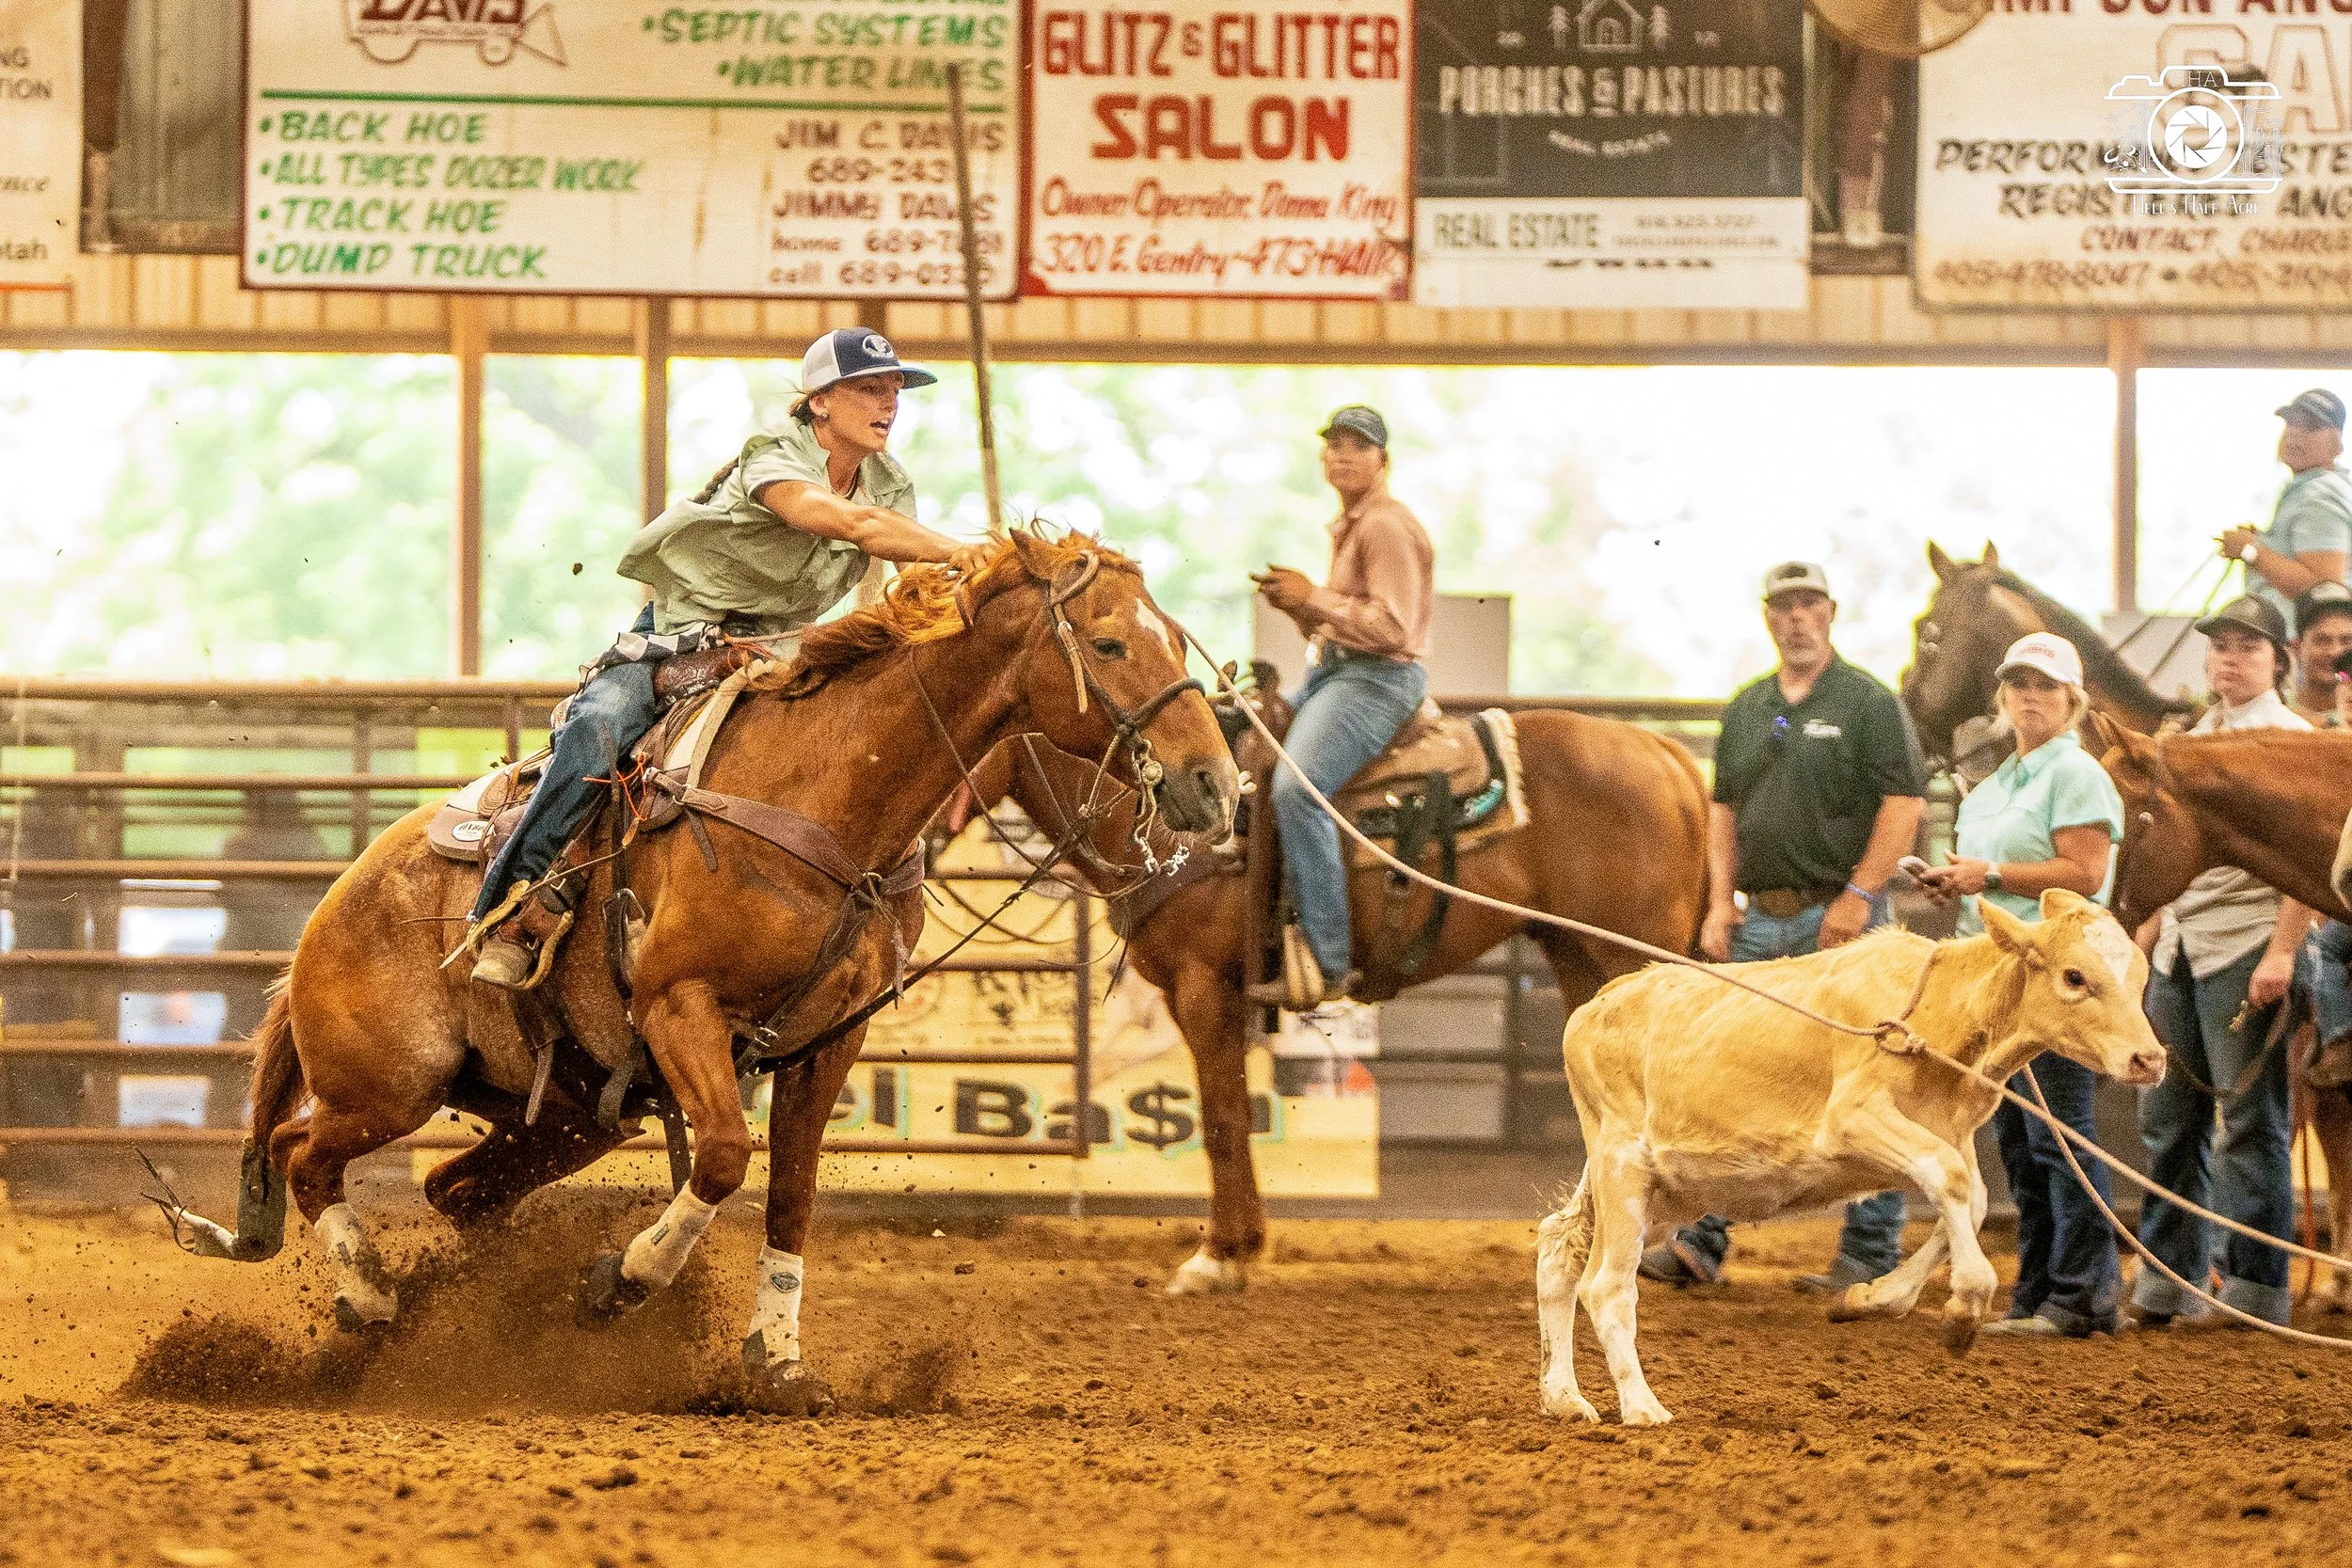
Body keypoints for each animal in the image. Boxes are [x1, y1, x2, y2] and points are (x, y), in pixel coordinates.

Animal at [160, 531, 1238, 1413]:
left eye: (1178, 645)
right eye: (1109, 645)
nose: (1213, 783)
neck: (826, 801)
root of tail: (328, 911)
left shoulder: (826, 1043)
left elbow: (791, 1192)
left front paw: (778, 1363)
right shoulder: (680, 1008)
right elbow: (722, 1154)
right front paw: (621, 1280)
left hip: (568, 1113)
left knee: (451, 1188)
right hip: (393, 1082)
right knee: (301, 1153)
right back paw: (374, 1298)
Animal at [965, 704, 1711, 1294]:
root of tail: (1670, 756)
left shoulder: (1203, 988)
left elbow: (1223, 1121)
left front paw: (1218, 1258)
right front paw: (1239, 1247)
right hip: (1581, 959)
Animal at [1535, 890, 2167, 1426]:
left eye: (2139, 975)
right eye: (2075, 976)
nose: (2150, 1059)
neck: (1939, 1014)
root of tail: (1591, 1009)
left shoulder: (1943, 1136)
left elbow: (1971, 1199)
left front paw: (1868, 1297)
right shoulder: (1852, 1118)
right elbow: (1951, 1179)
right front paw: (1966, 1303)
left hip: (1668, 1189)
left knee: (1558, 1246)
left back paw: (1565, 1397)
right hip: (1624, 1166)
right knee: (1606, 1286)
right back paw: (1642, 1407)